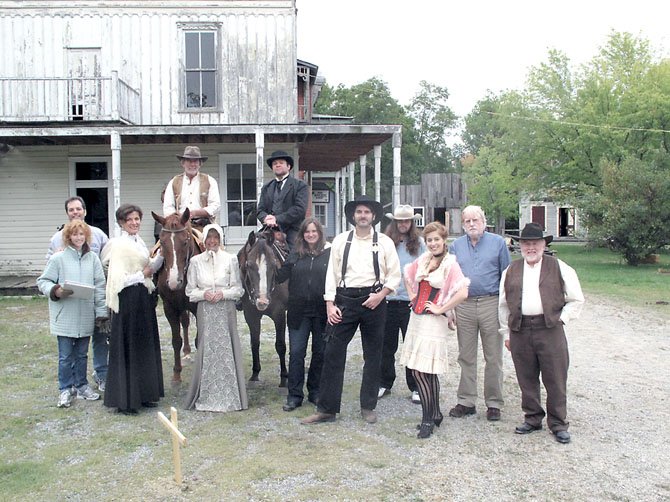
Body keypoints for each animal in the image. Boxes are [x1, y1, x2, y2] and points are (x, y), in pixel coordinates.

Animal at [153, 208, 202, 380]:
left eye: (185, 242)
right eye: (162, 242)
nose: (174, 282)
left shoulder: (197, 308)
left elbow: (199, 340)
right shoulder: (170, 307)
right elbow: (176, 340)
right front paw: (176, 375)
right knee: (185, 323)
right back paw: (186, 353)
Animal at [240, 226, 290, 386]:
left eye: (273, 265)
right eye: (249, 265)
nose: (262, 301)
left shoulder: (279, 314)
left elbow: (280, 345)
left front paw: (284, 378)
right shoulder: (250, 315)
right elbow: (254, 343)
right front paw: (255, 374)